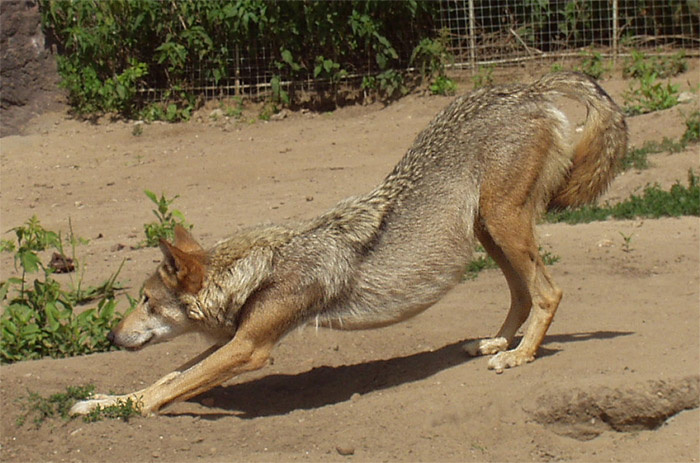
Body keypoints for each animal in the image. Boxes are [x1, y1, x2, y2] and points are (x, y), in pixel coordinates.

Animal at [70, 72, 627, 416]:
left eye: (146, 301)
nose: (112, 337)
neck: (262, 268)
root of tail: (529, 85)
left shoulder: (249, 348)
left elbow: (162, 391)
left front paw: (120, 414)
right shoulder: (236, 339)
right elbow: (162, 380)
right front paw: (98, 402)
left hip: (503, 224)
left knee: (548, 292)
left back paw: (519, 356)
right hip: (488, 233)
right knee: (521, 293)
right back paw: (496, 342)